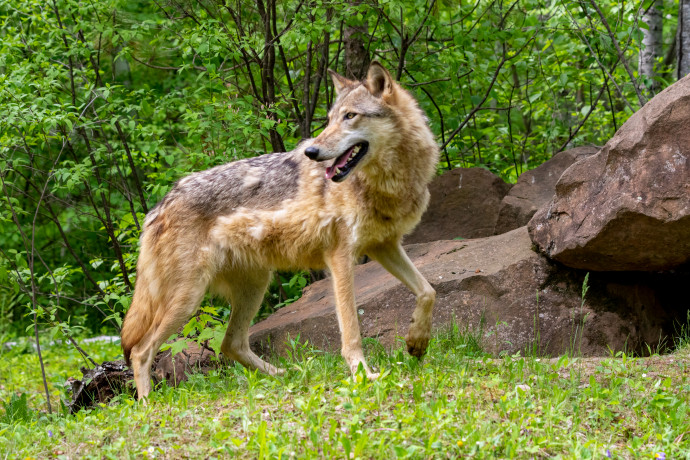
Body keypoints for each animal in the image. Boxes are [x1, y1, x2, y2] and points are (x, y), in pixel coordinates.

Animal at [119, 62, 438, 398]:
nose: (311, 151)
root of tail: (158, 207)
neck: (385, 184)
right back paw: (148, 403)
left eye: (350, 116)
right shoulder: (340, 258)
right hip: (188, 299)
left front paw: (417, 343)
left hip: (254, 285)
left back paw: (284, 375)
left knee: (230, 344)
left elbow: (428, 291)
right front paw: (363, 374)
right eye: (330, 119)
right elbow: (351, 330)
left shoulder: (384, 246)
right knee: (141, 350)